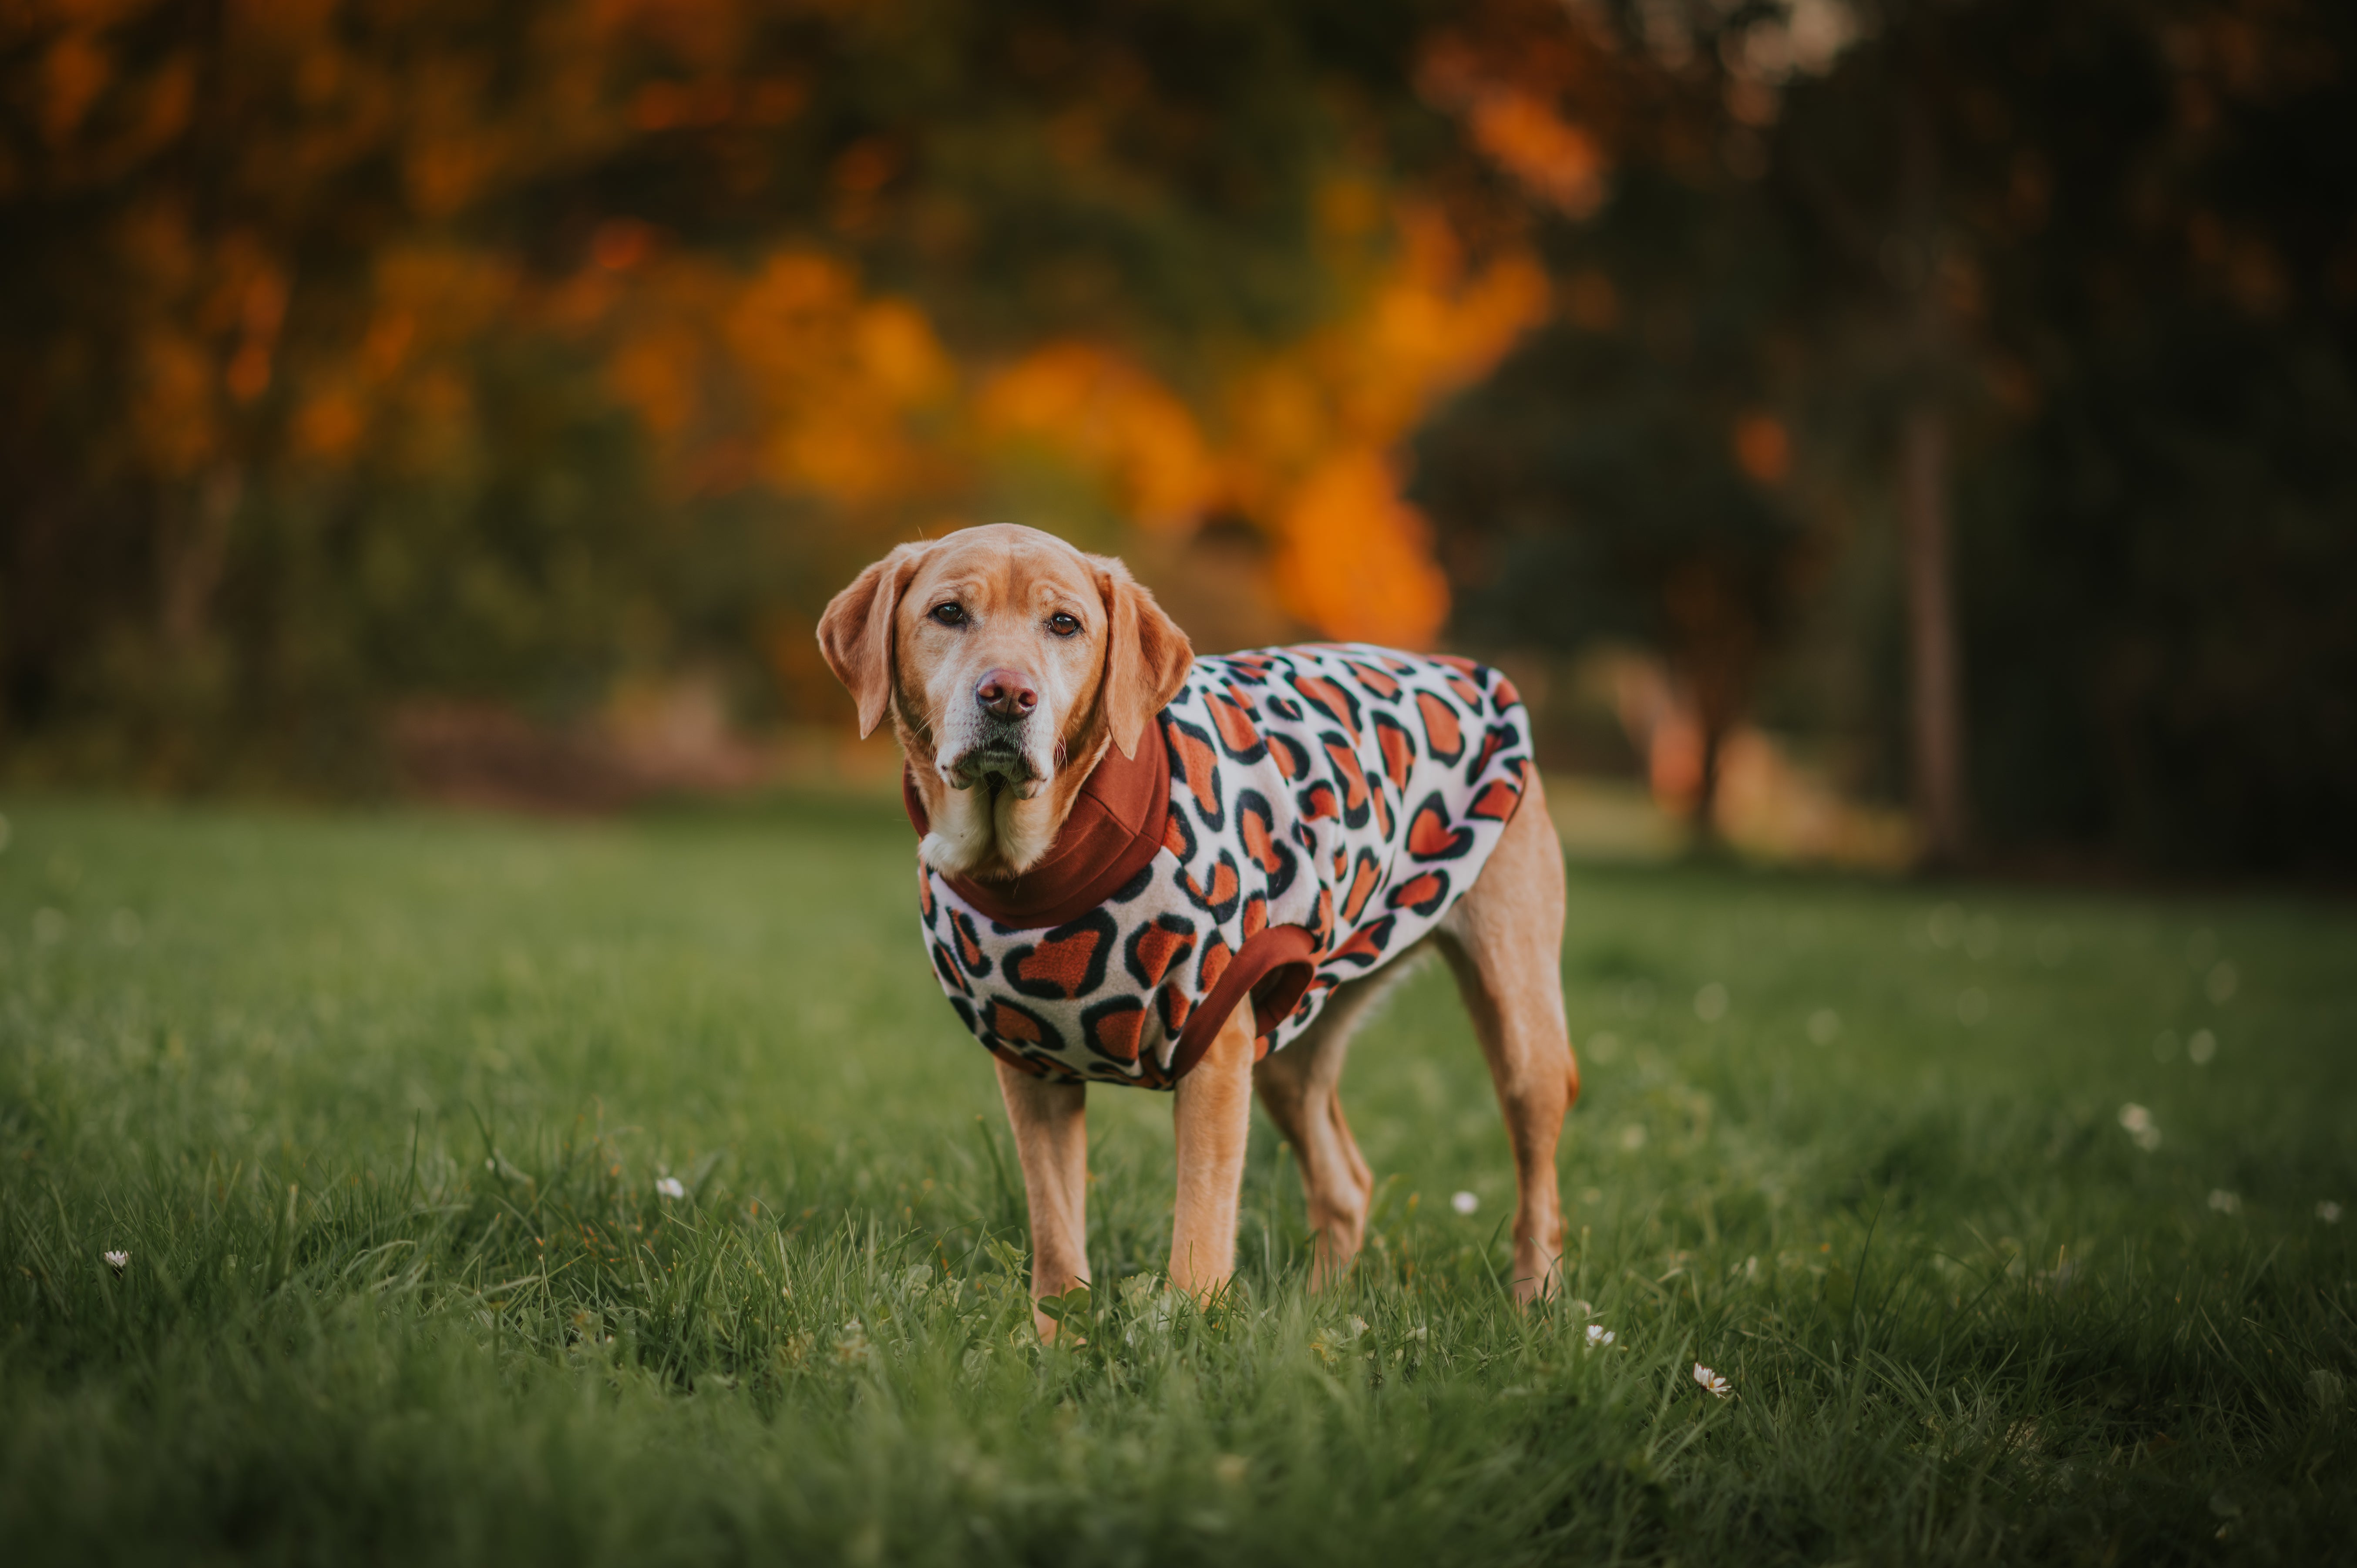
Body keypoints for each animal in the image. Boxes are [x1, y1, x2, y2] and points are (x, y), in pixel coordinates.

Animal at [820, 518, 1574, 1329]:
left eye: (1065, 624)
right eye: (949, 613)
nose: (1008, 695)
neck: (1032, 862)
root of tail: (1466, 670)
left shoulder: (1214, 1057)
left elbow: (1199, 1236)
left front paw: (1183, 1337)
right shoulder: (1032, 1070)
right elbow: (1056, 1235)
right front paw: (1056, 1340)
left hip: (1516, 1024)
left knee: (1539, 1185)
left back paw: (1537, 1309)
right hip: (1288, 1045)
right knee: (1345, 1183)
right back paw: (1316, 1317)